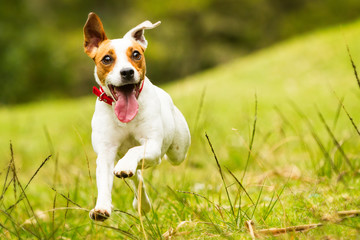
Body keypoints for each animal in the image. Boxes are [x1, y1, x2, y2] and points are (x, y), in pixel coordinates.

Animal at [83, 12, 190, 220]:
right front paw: (102, 207)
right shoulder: (106, 153)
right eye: (106, 59)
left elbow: (135, 150)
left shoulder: (152, 144)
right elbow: (104, 181)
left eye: (136, 54)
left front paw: (126, 164)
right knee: (136, 176)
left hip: (177, 152)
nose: (127, 72)